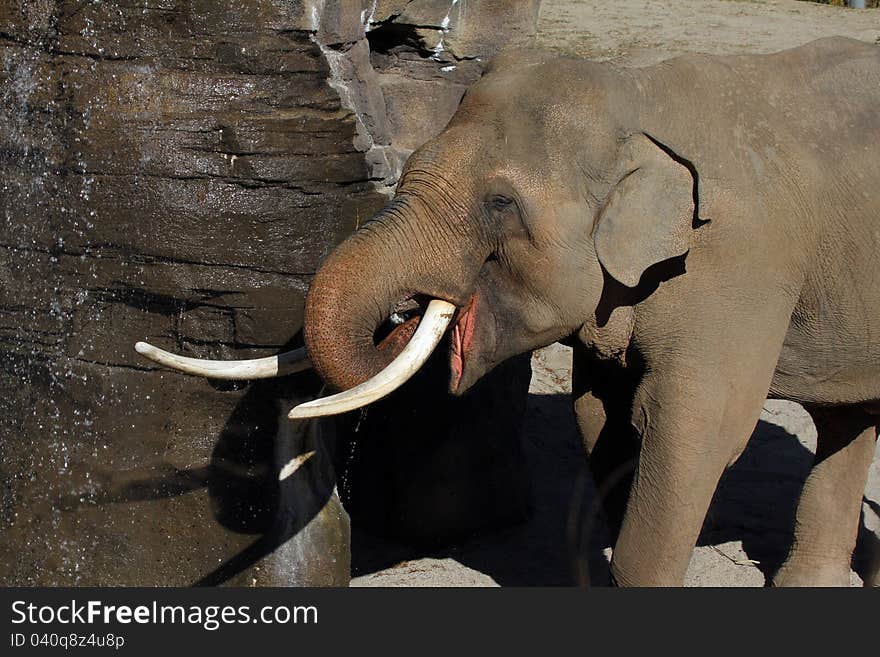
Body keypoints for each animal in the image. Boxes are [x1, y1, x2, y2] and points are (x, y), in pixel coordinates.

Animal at [138, 37, 880, 584]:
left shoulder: (740, 270)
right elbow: (603, 416)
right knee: (846, 420)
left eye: (500, 205)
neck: (639, 96)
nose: (402, 313)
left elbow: (694, 430)